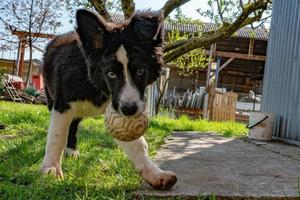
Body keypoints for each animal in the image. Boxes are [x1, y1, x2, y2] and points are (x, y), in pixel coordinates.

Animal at [39, 9, 176, 189]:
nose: (129, 109)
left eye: (140, 71)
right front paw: (51, 169)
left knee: (74, 124)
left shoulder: (116, 108)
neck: (93, 82)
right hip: (52, 96)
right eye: (111, 74)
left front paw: (154, 174)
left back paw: (71, 149)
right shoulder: (62, 105)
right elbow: (57, 136)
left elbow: (137, 145)